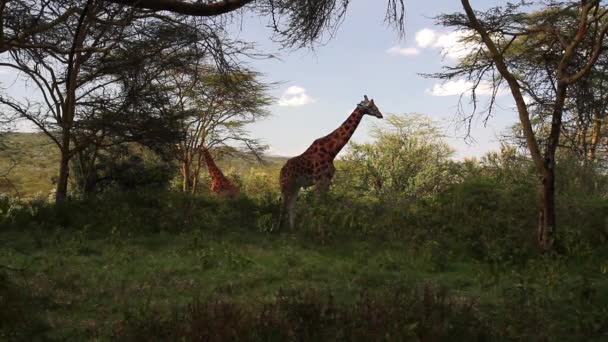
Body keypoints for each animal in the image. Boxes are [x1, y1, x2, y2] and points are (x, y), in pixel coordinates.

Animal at [278, 95, 382, 231]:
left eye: (376, 106)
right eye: (371, 106)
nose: (380, 115)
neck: (331, 151)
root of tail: (281, 170)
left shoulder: (327, 180)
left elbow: (324, 205)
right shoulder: (320, 180)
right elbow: (317, 206)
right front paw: (318, 231)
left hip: (296, 186)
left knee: (291, 206)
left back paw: (292, 230)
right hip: (286, 184)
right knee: (283, 205)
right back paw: (279, 229)